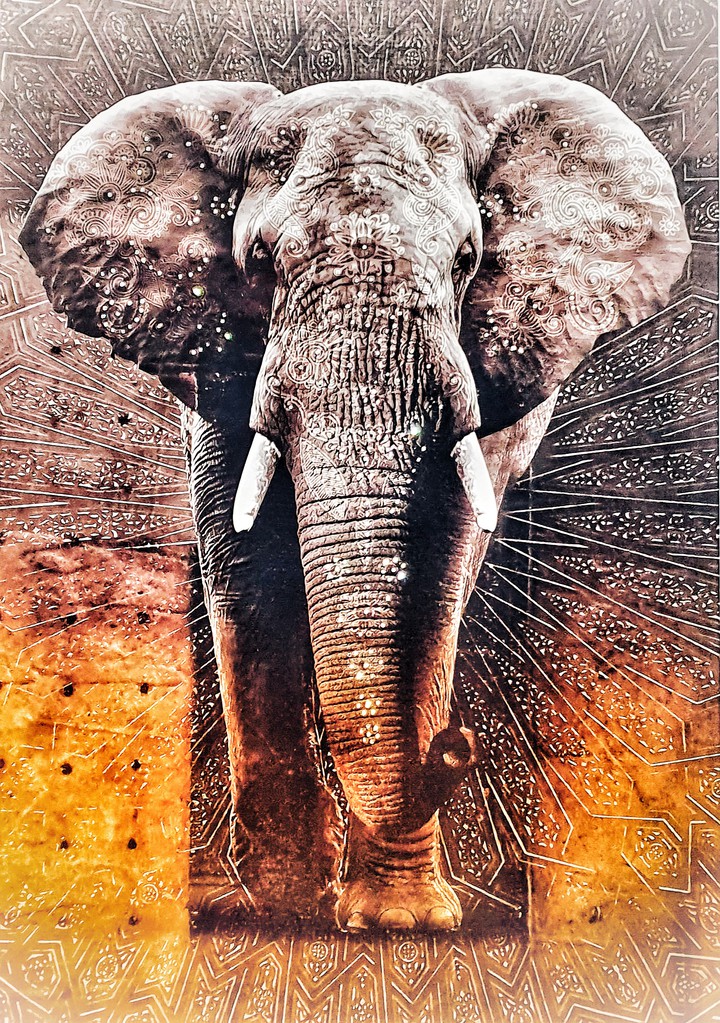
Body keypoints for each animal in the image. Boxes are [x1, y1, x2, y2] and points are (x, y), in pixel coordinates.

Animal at [19, 69, 690, 932]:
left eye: (468, 258)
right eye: (259, 258)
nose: (459, 743)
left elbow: (442, 566)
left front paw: (401, 922)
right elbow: (248, 562)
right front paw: (284, 902)